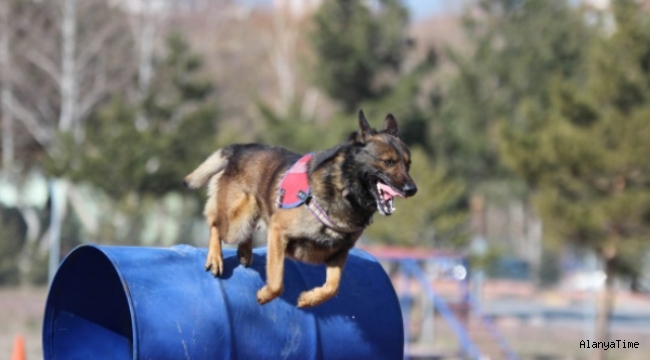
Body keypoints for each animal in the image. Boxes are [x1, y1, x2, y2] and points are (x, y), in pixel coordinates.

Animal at [182, 109, 416, 306]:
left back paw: (245, 252)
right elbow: (277, 282)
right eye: (388, 162)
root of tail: (240, 148)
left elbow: (332, 287)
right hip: (237, 221)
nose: (412, 189)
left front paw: (309, 299)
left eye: (408, 164)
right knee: (215, 224)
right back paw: (215, 258)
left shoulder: (339, 252)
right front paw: (265, 295)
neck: (343, 189)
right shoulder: (278, 231)